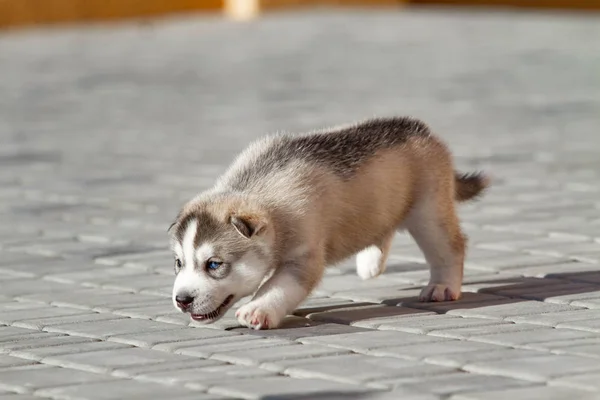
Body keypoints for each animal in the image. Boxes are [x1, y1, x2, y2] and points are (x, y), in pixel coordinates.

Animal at [169, 117, 488, 330]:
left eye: (214, 264)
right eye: (178, 263)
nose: (182, 299)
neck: (257, 188)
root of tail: (423, 130)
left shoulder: (304, 256)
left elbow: (278, 284)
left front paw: (258, 308)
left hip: (428, 212)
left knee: (450, 246)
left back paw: (442, 287)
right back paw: (370, 263)